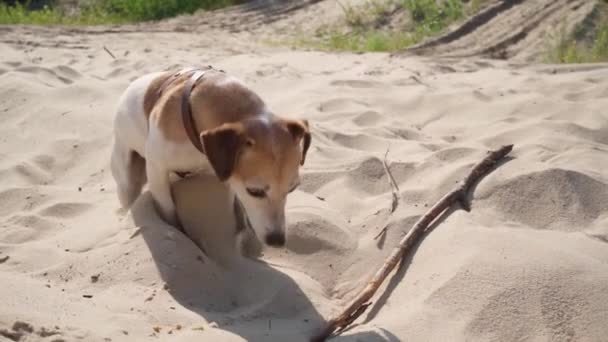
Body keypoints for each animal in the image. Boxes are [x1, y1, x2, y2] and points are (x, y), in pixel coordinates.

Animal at [110, 66, 312, 248]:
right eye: (254, 191)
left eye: (292, 189)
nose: (277, 241)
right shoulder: (157, 172)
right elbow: (170, 214)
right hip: (127, 179)